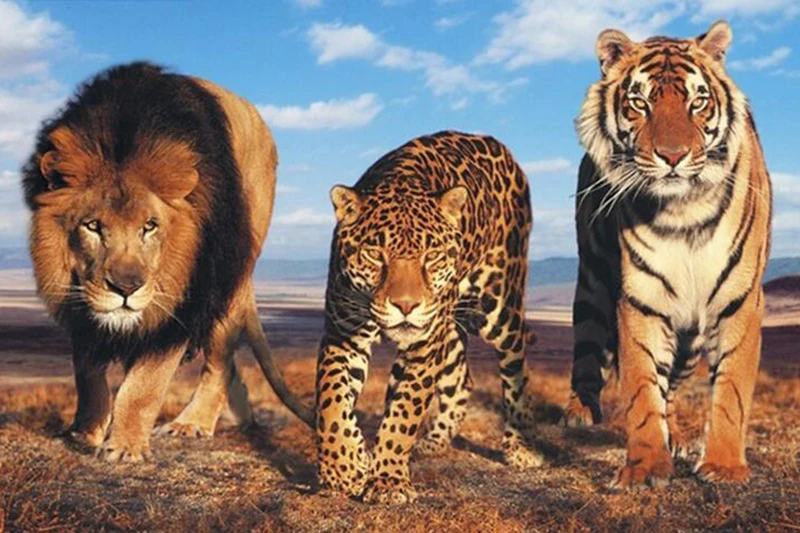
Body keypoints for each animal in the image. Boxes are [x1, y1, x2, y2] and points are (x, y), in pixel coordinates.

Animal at [22, 62, 313, 462]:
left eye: (150, 226)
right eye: (93, 225)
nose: (126, 288)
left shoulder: (182, 300)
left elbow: (144, 386)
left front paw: (125, 447)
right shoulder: (81, 302)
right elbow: (88, 376)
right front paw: (85, 432)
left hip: (234, 270)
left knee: (219, 361)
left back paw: (192, 422)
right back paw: (241, 415)